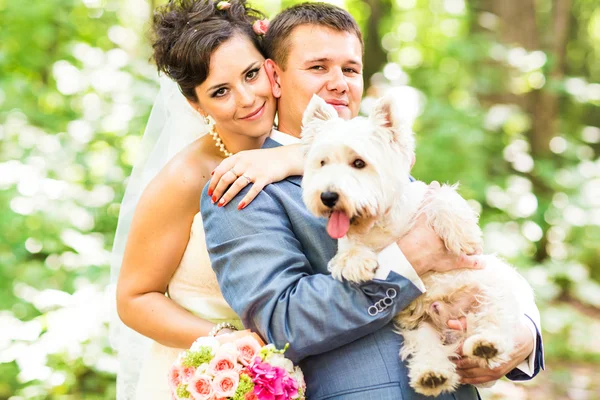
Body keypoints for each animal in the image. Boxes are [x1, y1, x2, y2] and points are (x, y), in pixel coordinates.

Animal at [300, 94, 536, 396]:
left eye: (359, 163)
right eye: (322, 162)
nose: (328, 196)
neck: (383, 223)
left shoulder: (428, 194)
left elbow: (443, 198)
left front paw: (462, 235)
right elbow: (348, 244)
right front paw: (354, 261)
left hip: (491, 288)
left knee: (494, 317)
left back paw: (486, 344)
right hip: (421, 324)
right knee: (428, 348)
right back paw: (432, 375)